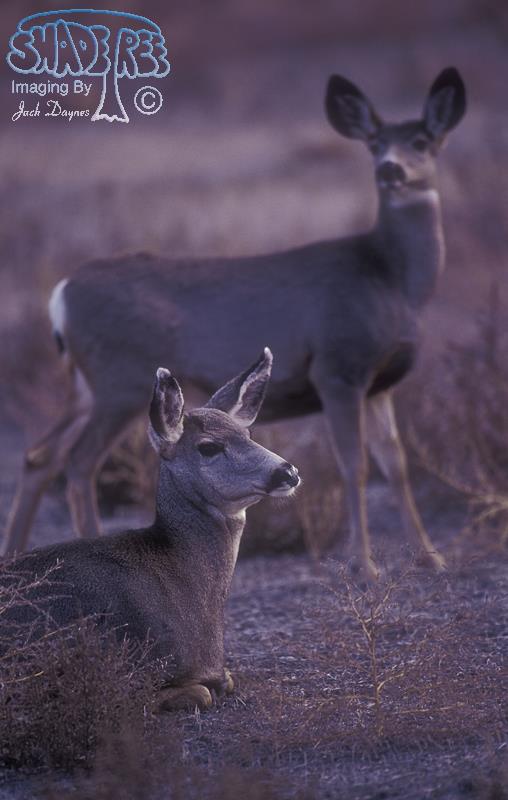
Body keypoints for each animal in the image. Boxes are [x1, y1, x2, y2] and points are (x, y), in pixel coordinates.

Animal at [1, 349, 300, 710]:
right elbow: (202, 693)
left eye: (249, 436)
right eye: (209, 447)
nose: (288, 471)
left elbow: (225, 680)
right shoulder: (124, 673)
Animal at [2, 68, 466, 580]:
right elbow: (356, 466)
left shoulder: (381, 383)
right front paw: (364, 565)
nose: (391, 169)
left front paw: (431, 556)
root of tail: (61, 293)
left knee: (39, 455)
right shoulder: (338, 368)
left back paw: (16, 561)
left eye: (423, 141)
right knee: (80, 463)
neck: (392, 278)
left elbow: (397, 463)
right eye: (374, 143)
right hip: (119, 381)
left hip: (87, 385)